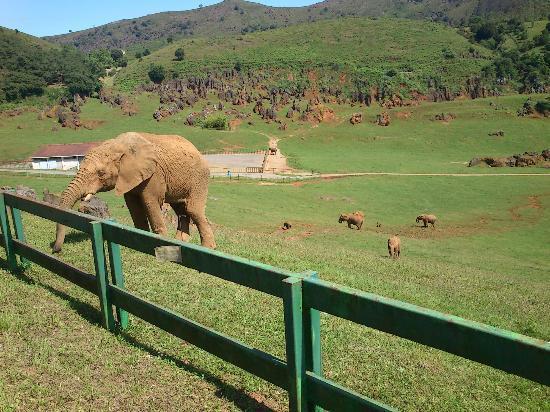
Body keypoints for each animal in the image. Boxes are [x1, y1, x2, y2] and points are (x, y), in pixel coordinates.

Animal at [51, 134, 216, 253]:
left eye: (101, 173)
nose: (55, 249)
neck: (118, 146)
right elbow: (133, 205)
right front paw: (140, 242)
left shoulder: (154, 173)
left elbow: (150, 201)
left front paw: (161, 244)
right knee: (182, 210)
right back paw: (180, 242)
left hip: (199, 178)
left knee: (192, 209)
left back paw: (208, 248)